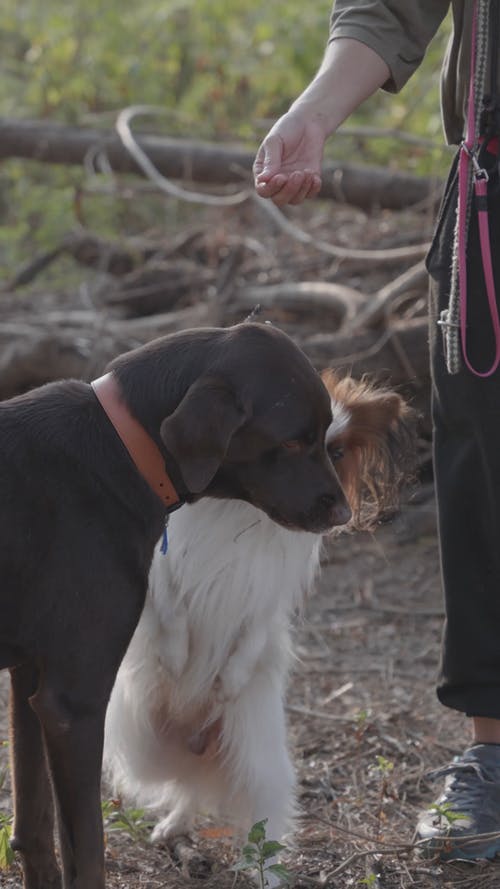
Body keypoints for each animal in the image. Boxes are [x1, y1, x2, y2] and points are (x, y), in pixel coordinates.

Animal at [103, 370, 412, 860]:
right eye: (291, 446)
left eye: (336, 453)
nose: (338, 509)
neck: (244, 512)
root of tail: (195, 739)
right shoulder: (162, 572)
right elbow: (171, 611)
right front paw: (175, 658)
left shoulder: (267, 601)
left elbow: (252, 637)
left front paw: (227, 682)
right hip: (140, 744)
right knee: (183, 786)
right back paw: (175, 823)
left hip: (258, 760)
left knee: (256, 820)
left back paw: (258, 867)